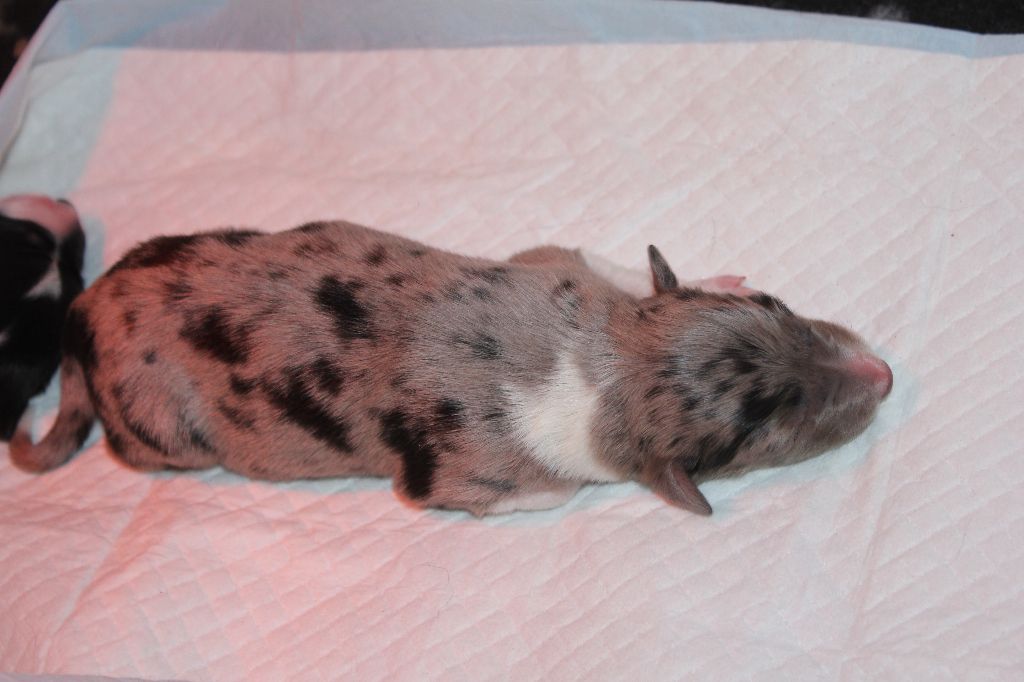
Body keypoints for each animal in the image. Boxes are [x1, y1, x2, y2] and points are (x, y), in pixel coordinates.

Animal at [9, 220, 892, 516]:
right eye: (757, 429)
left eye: (777, 303)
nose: (883, 374)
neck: (600, 368)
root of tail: (80, 322)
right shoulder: (456, 482)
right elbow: (545, 493)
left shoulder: (550, 264)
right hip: (161, 434)